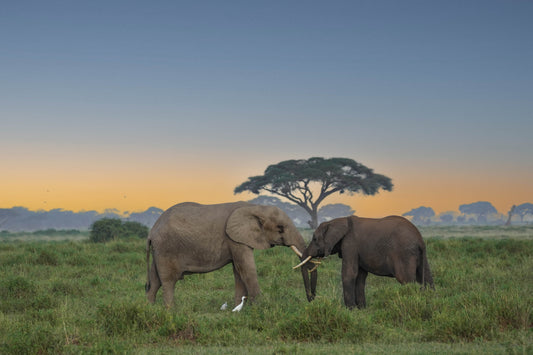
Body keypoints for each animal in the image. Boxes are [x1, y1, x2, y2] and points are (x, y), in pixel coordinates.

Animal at [144, 203, 316, 308]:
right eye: (280, 228)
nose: (311, 299)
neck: (255, 207)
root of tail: (152, 231)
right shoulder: (234, 238)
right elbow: (247, 268)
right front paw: (261, 306)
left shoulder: (237, 239)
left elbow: (238, 271)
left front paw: (238, 309)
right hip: (166, 248)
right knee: (168, 280)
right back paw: (171, 311)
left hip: (159, 250)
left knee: (154, 280)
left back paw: (150, 309)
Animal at [296, 216, 432, 310]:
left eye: (314, 239)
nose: (312, 299)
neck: (339, 220)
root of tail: (420, 240)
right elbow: (360, 277)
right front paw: (361, 309)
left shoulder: (350, 244)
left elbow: (349, 273)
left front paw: (350, 310)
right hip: (420, 256)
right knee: (427, 277)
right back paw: (430, 300)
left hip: (404, 254)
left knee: (407, 280)